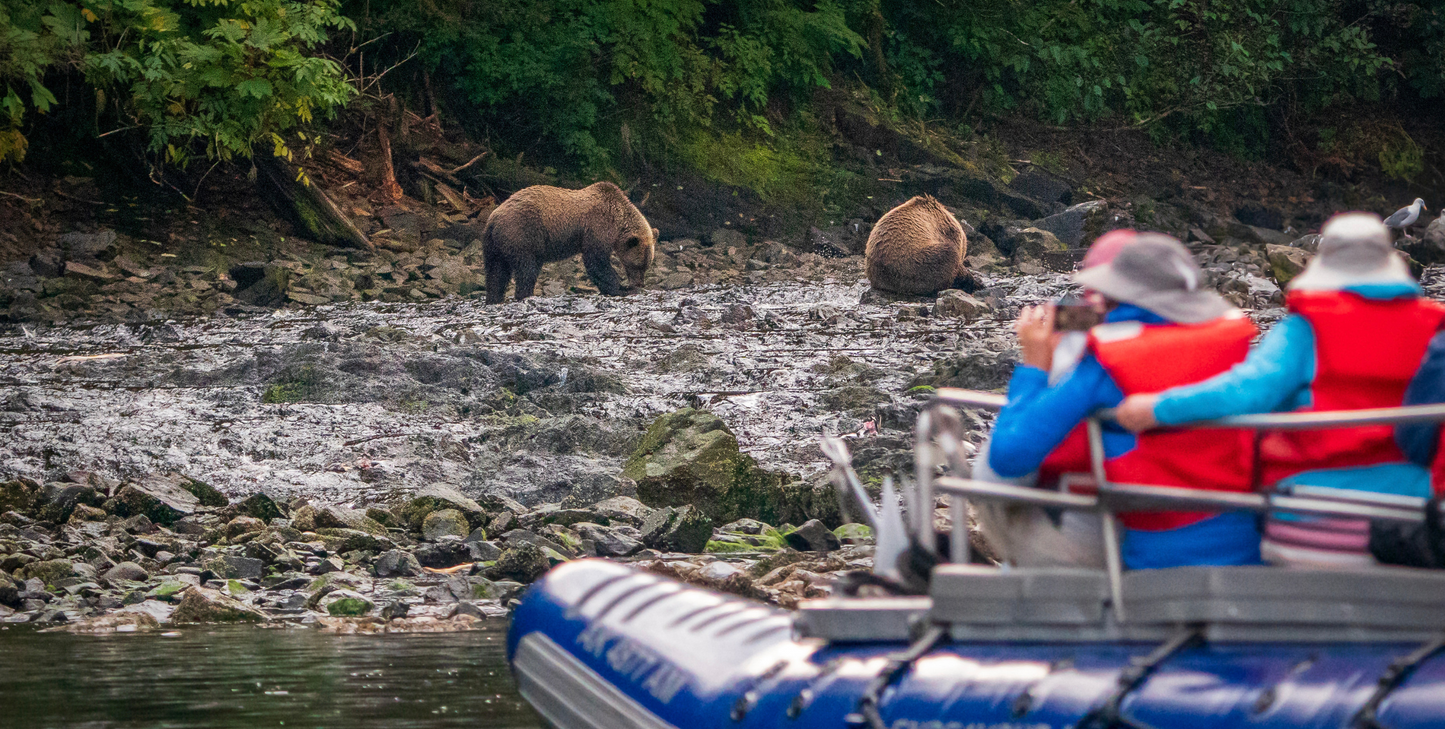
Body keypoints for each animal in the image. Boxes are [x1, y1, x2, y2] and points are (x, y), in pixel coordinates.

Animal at [479, 180, 656, 303]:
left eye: (646, 266)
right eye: (637, 265)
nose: (640, 284)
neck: (619, 220)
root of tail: (493, 218)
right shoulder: (598, 226)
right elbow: (596, 261)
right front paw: (621, 288)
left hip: (494, 244)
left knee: (496, 272)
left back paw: (494, 299)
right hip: (521, 233)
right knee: (526, 268)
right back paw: (525, 295)